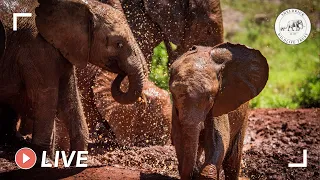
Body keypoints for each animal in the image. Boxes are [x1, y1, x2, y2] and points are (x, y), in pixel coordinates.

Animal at [169, 43, 268, 179]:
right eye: (173, 94)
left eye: (210, 98)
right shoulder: (175, 111)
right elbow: (179, 138)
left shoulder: (219, 102)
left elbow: (220, 142)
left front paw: (205, 174)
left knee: (232, 159)